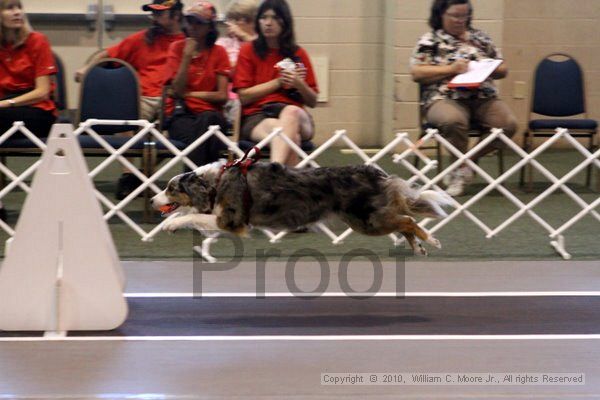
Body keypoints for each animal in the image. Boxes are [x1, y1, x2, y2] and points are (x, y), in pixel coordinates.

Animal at [150, 158, 450, 255]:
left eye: (170, 189)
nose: (152, 201)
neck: (215, 182)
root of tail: (376, 173)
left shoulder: (232, 221)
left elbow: (189, 218)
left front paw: (169, 225)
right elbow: (193, 217)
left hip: (367, 220)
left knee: (408, 221)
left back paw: (432, 241)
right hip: (367, 219)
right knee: (404, 222)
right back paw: (418, 247)